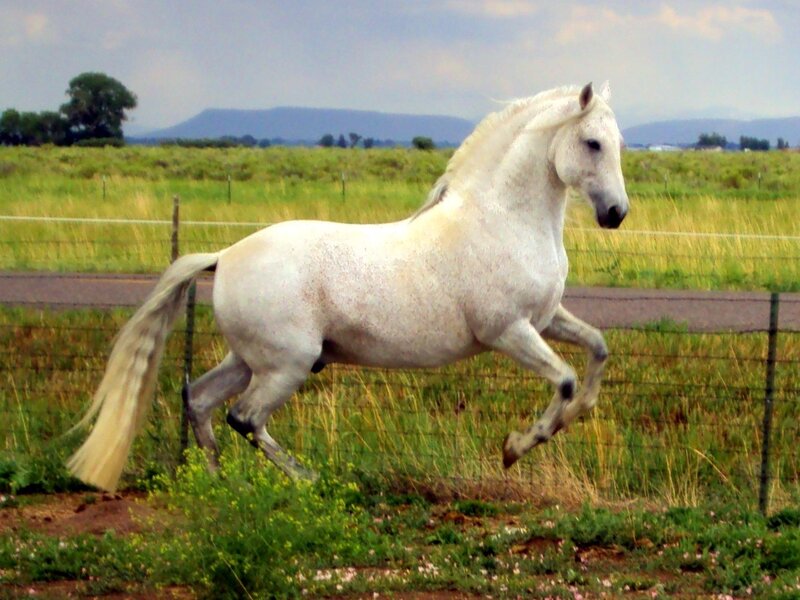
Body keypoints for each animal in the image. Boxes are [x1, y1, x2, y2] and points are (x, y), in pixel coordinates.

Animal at [67, 82, 629, 492]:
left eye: (617, 144)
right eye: (592, 143)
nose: (616, 214)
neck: (501, 220)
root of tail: (223, 257)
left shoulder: (546, 320)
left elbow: (597, 350)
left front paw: (568, 419)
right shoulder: (509, 331)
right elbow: (564, 380)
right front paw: (516, 446)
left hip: (250, 359)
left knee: (200, 401)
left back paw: (219, 486)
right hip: (288, 364)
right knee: (244, 417)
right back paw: (308, 478)